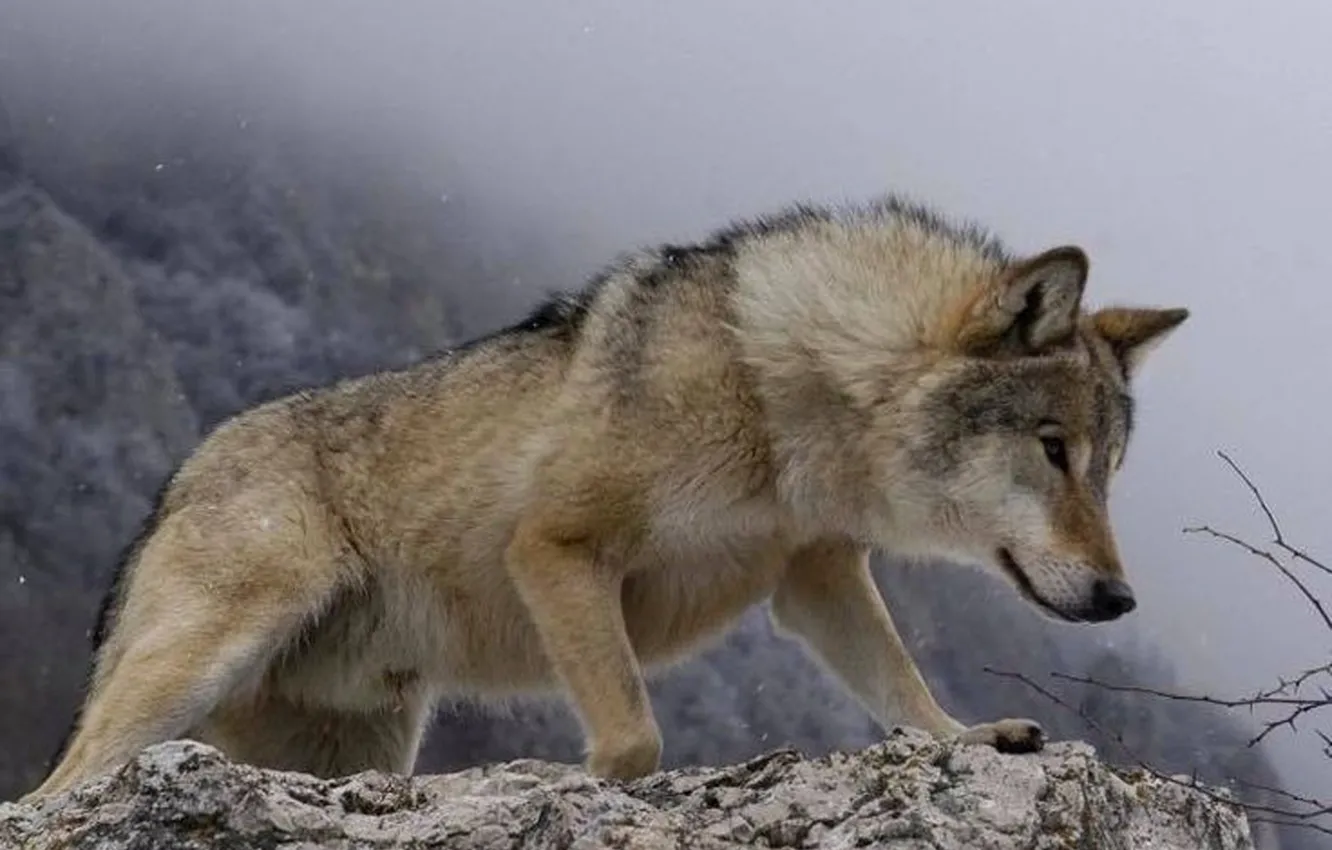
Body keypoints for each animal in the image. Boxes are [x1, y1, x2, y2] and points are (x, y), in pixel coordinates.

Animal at [26, 195, 1188, 801]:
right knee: (48, 794)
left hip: (357, 748)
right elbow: (633, 739)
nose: (1122, 601)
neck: (783, 392)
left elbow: (900, 684)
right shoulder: (558, 549)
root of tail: (179, 473)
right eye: (1053, 452)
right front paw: (572, 778)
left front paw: (966, 735)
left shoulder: (816, 578)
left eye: (1107, 468)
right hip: (193, 667)